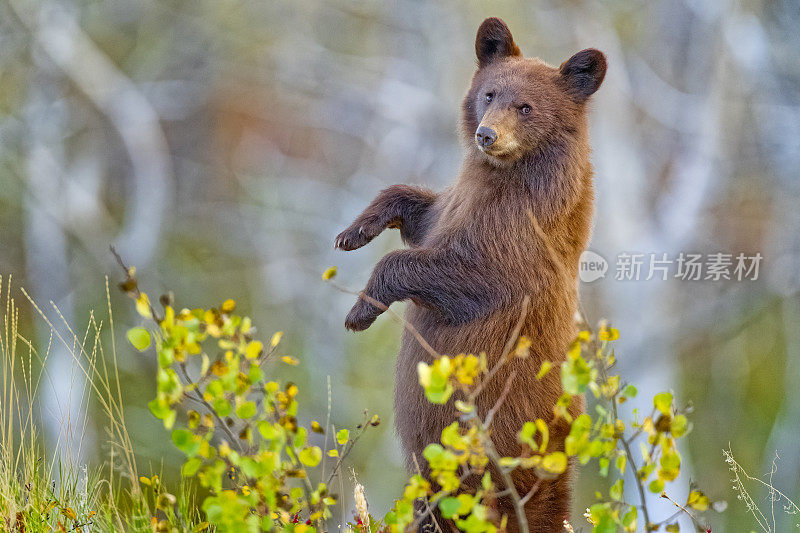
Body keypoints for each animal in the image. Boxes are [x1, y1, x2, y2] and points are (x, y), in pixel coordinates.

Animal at [336, 16, 608, 532]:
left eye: (525, 107)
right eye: (489, 93)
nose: (486, 135)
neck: (504, 173)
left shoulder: (523, 232)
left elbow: (465, 272)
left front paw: (360, 310)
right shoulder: (459, 201)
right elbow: (422, 212)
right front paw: (354, 230)